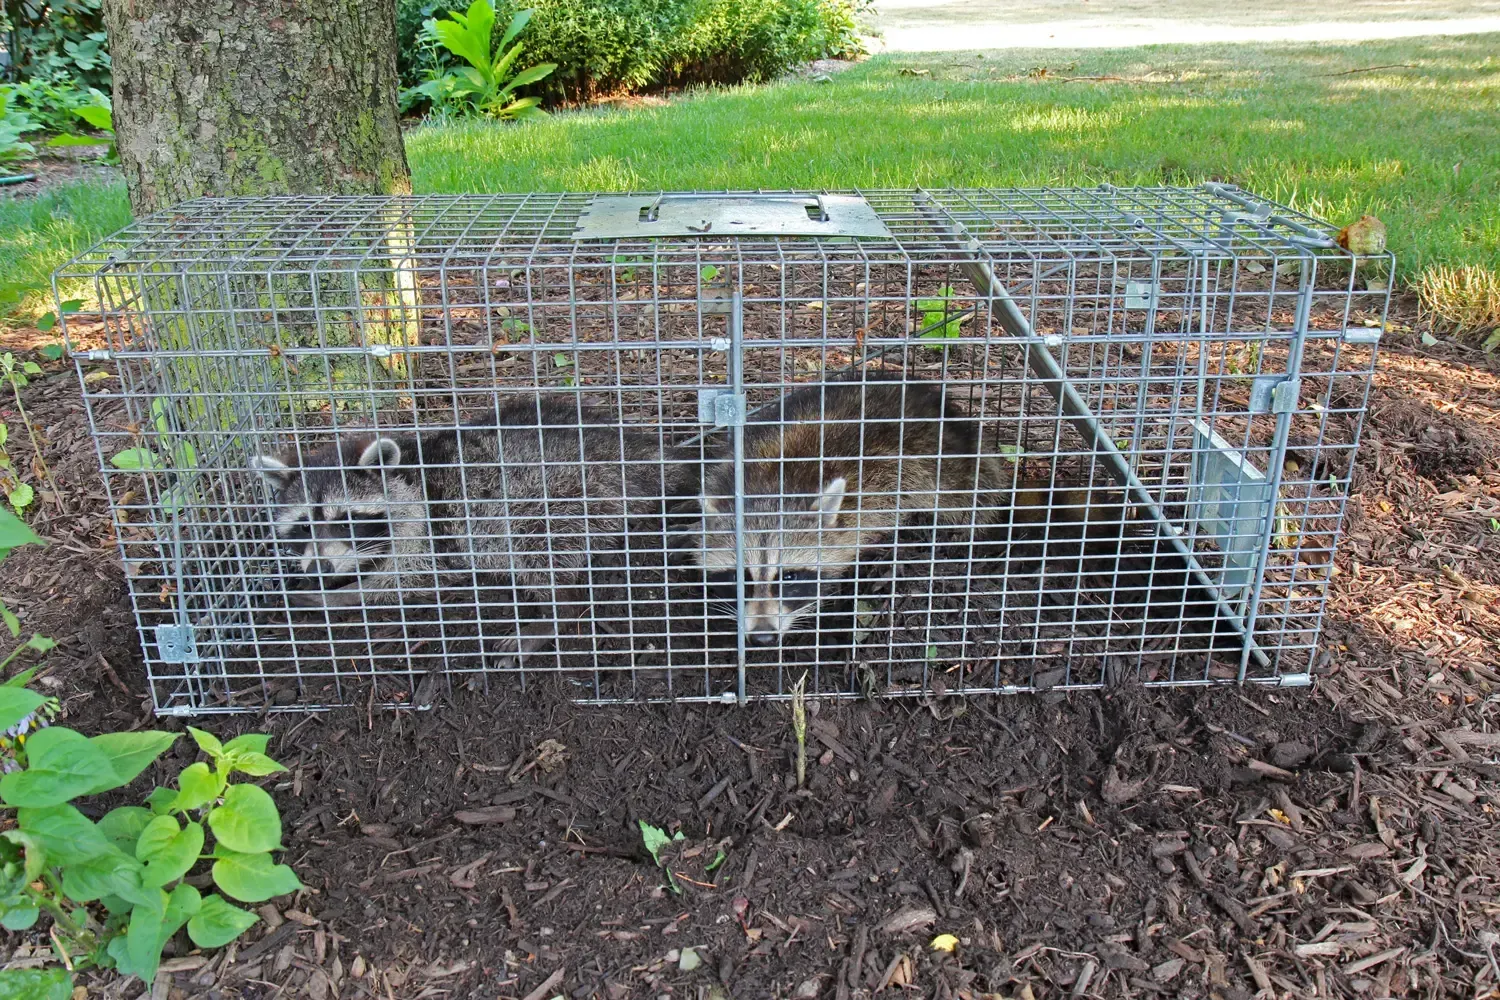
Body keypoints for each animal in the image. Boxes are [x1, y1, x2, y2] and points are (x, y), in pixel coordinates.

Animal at [253, 395, 702, 659]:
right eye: (303, 527)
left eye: (345, 519)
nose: (320, 569)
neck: (408, 476)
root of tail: (637, 451)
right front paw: (327, 580)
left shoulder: (430, 530)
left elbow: (405, 579)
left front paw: (341, 595)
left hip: (566, 494)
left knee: (537, 547)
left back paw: (555, 613)